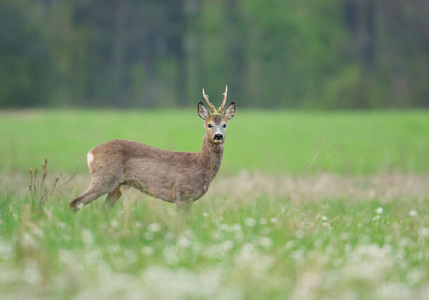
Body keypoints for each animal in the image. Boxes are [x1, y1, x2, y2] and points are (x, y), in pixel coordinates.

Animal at [70, 86, 237, 212]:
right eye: (209, 124)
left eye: (225, 124)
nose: (218, 136)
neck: (200, 165)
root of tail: (90, 153)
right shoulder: (182, 193)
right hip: (104, 178)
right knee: (75, 202)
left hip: (116, 186)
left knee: (103, 209)